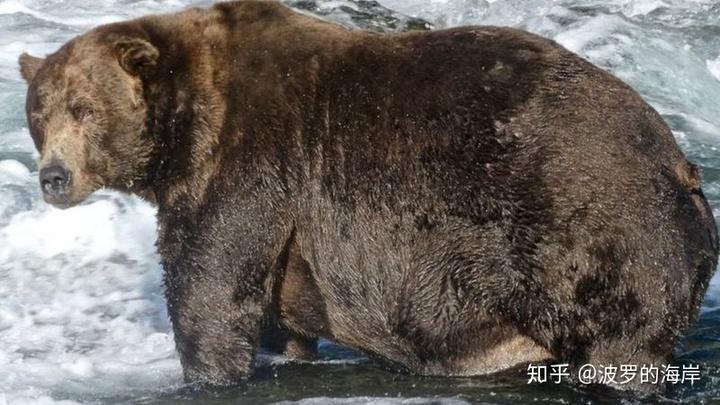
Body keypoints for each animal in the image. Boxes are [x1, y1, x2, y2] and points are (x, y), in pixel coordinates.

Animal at [19, 0, 718, 391]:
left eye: (84, 107)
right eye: (38, 113)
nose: (53, 177)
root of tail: (679, 160)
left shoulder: (250, 160)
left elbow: (210, 286)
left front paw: (204, 372)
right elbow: (272, 314)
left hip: (598, 236)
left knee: (620, 339)